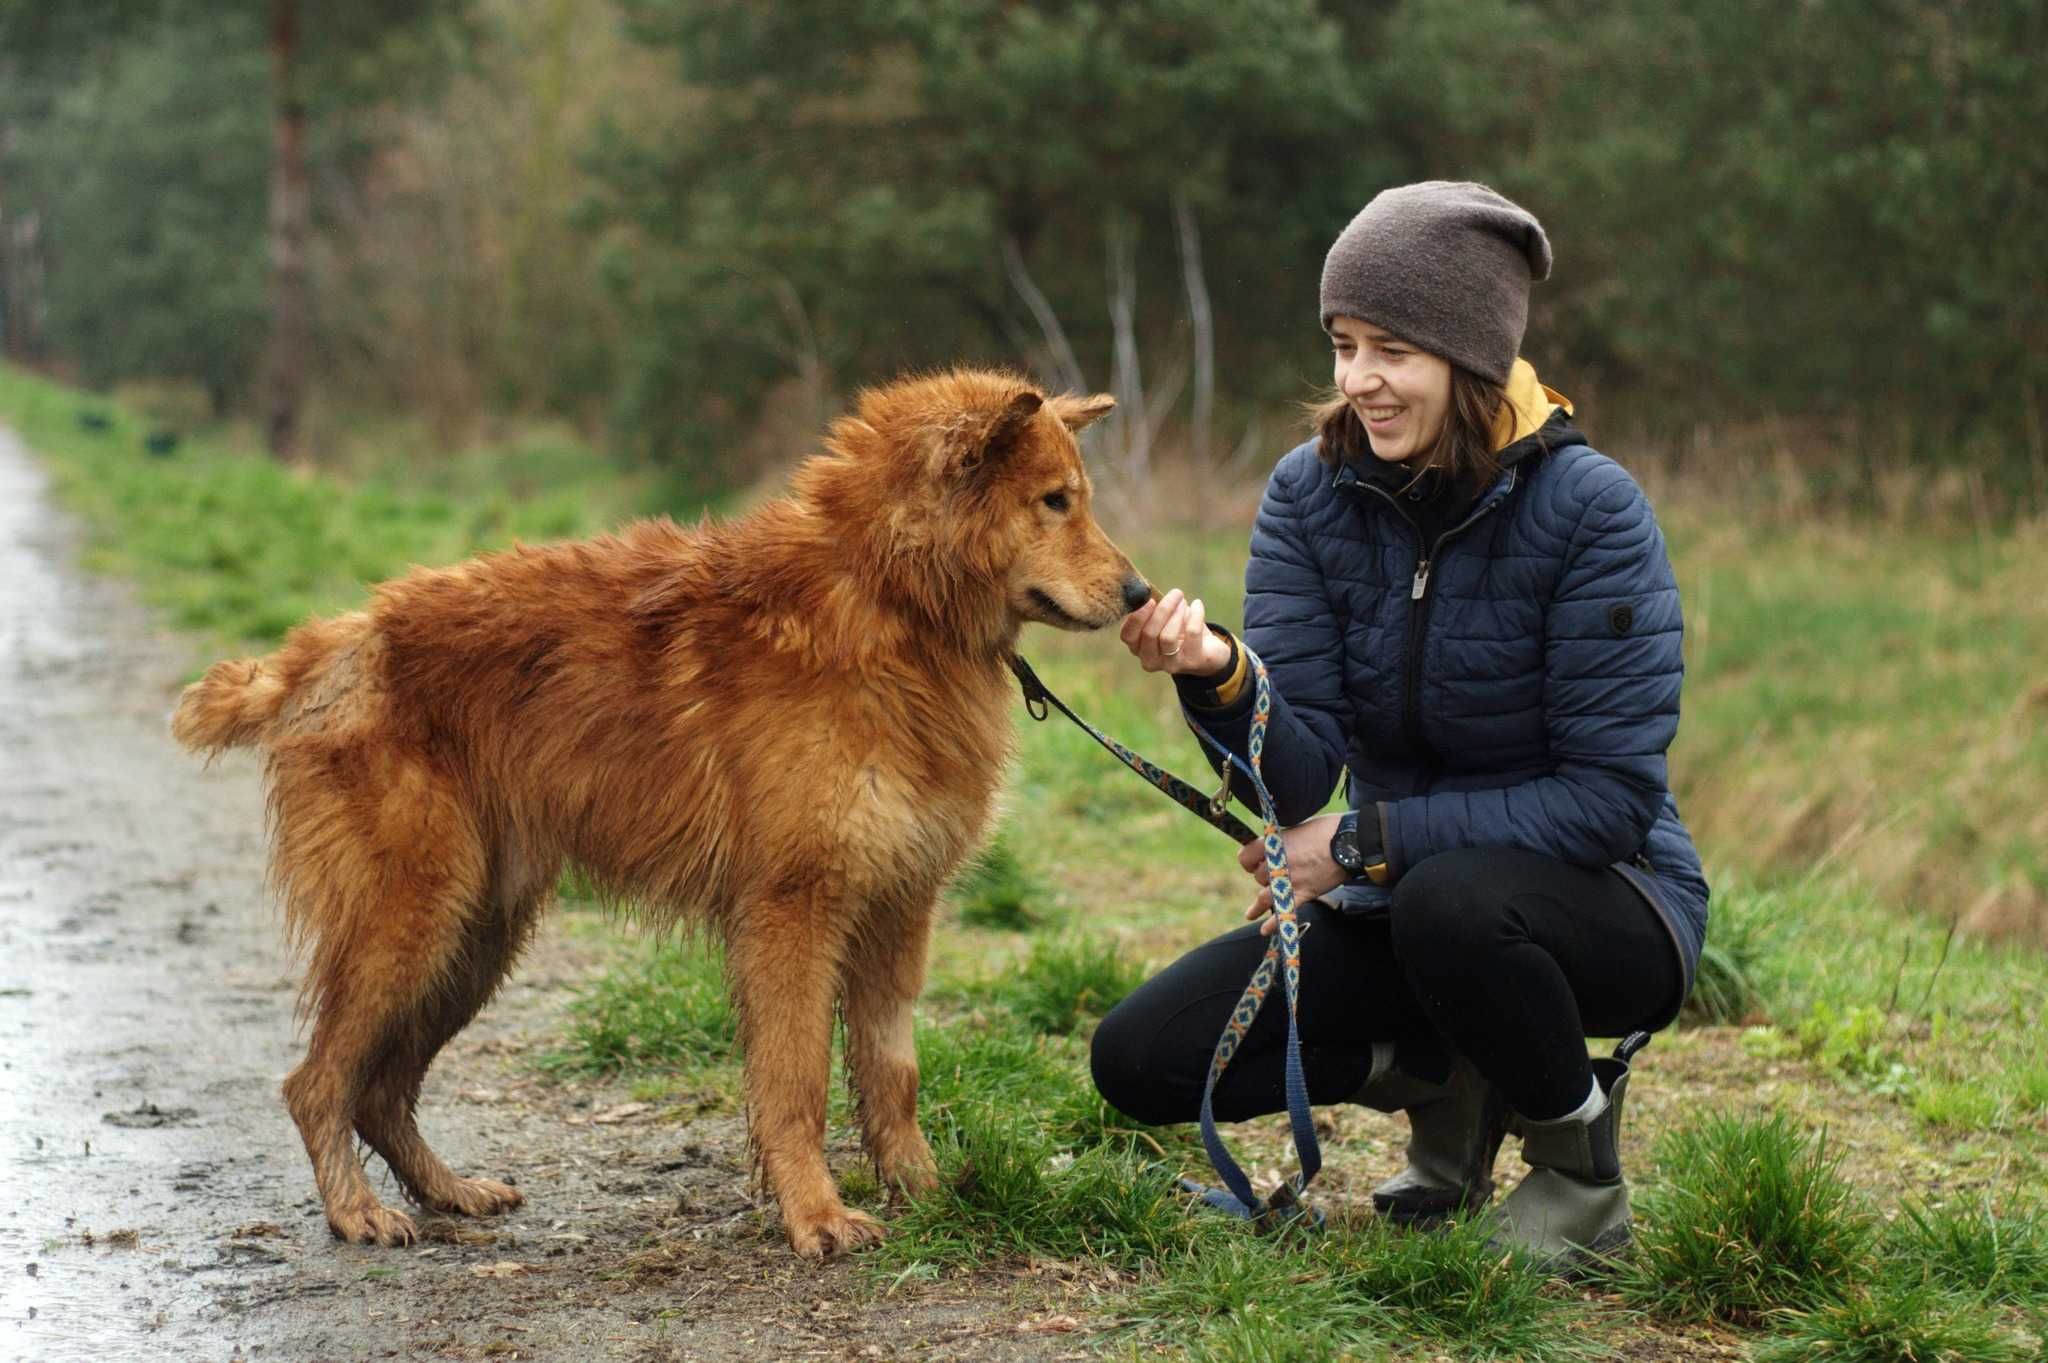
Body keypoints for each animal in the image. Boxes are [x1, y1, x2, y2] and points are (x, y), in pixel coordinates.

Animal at [167, 368, 1146, 1252]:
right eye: (1055, 502)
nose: (1140, 594)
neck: (884, 602)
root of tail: (325, 649)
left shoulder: (898, 910)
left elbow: (891, 1073)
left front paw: (924, 1191)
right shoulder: (794, 913)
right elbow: (797, 1083)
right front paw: (816, 1216)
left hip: (473, 940)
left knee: (378, 1088)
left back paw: (449, 1191)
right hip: (409, 925)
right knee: (318, 1083)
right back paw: (356, 1212)